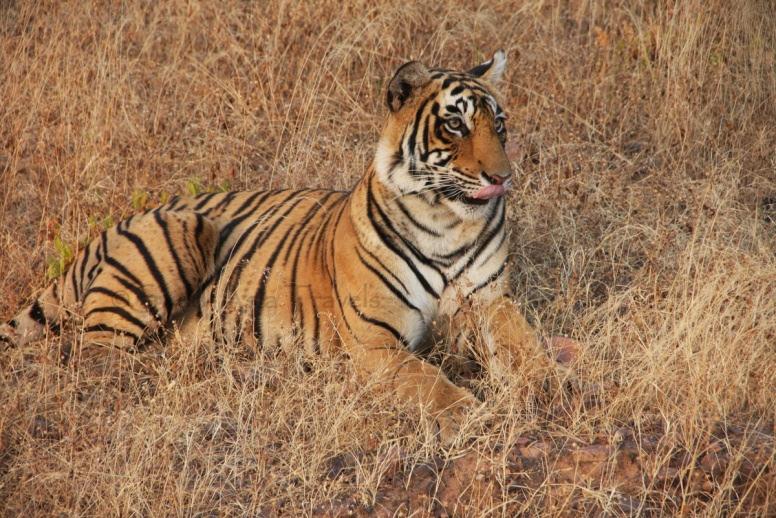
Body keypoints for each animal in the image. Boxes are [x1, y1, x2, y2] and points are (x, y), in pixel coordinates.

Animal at [0, 51, 556, 442]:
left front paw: (552, 386)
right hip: (181, 231)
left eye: (499, 124)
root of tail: (111, 225)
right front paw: (470, 414)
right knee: (96, 357)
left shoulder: (489, 302)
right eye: (455, 124)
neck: (446, 223)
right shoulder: (375, 340)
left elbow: (525, 345)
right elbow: (428, 382)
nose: (503, 178)